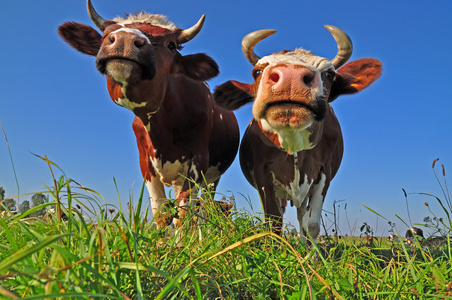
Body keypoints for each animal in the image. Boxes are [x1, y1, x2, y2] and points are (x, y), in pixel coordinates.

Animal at [58, 0, 240, 230]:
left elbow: (184, 214)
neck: (164, 126)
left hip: (213, 177)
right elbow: (161, 213)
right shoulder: (146, 163)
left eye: (171, 45)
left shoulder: (197, 163)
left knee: (205, 210)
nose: (125, 39)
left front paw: (183, 240)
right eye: (105, 34)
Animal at [215, 25, 382, 241]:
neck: (293, 142)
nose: (290, 78)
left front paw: (309, 251)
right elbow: (273, 222)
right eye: (257, 71)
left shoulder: (323, 172)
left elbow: (310, 225)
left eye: (330, 74)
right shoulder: (262, 173)